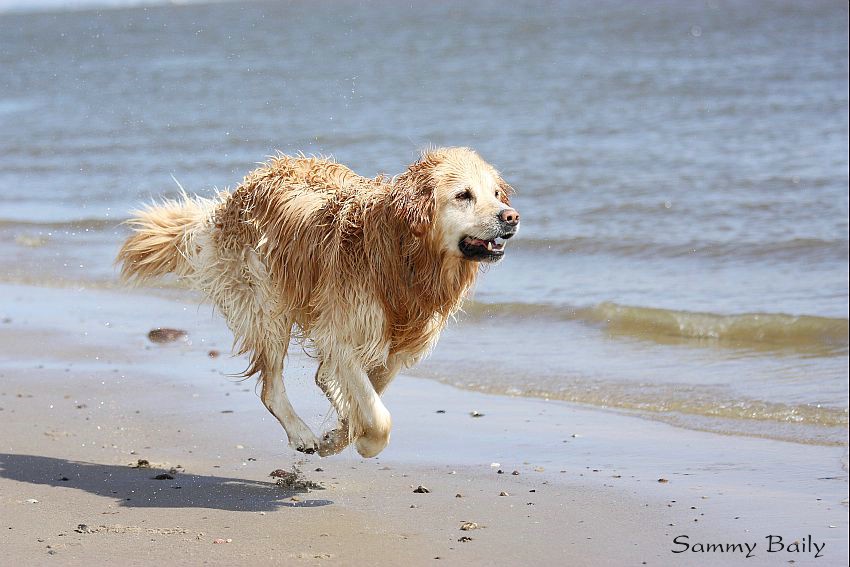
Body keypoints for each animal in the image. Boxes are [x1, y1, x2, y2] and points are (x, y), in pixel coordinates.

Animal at [115, 146, 516, 458]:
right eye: (463, 195)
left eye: (496, 194)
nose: (511, 217)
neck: (405, 259)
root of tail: (238, 192)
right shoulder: (343, 334)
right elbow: (378, 418)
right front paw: (360, 441)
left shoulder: (397, 349)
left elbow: (366, 398)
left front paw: (339, 434)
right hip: (269, 304)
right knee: (272, 388)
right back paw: (303, 435)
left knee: (320, 376)